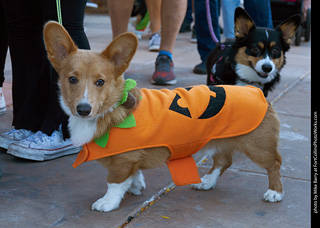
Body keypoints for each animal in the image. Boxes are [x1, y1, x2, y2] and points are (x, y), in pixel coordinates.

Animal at [42, 22, 282, 213]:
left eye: (100, 82)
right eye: (72, 79)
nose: (83, 109)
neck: (112, 108)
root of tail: (255, 90)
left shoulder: (122, 161)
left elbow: (114, 183)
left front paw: (107, 202)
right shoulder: (131, 159)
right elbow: (134, 175)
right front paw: (136, 186)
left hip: (258, 147)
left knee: (274, 163)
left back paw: (275, 192)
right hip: (222, 141)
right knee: (224, 161)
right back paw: (206, 182)